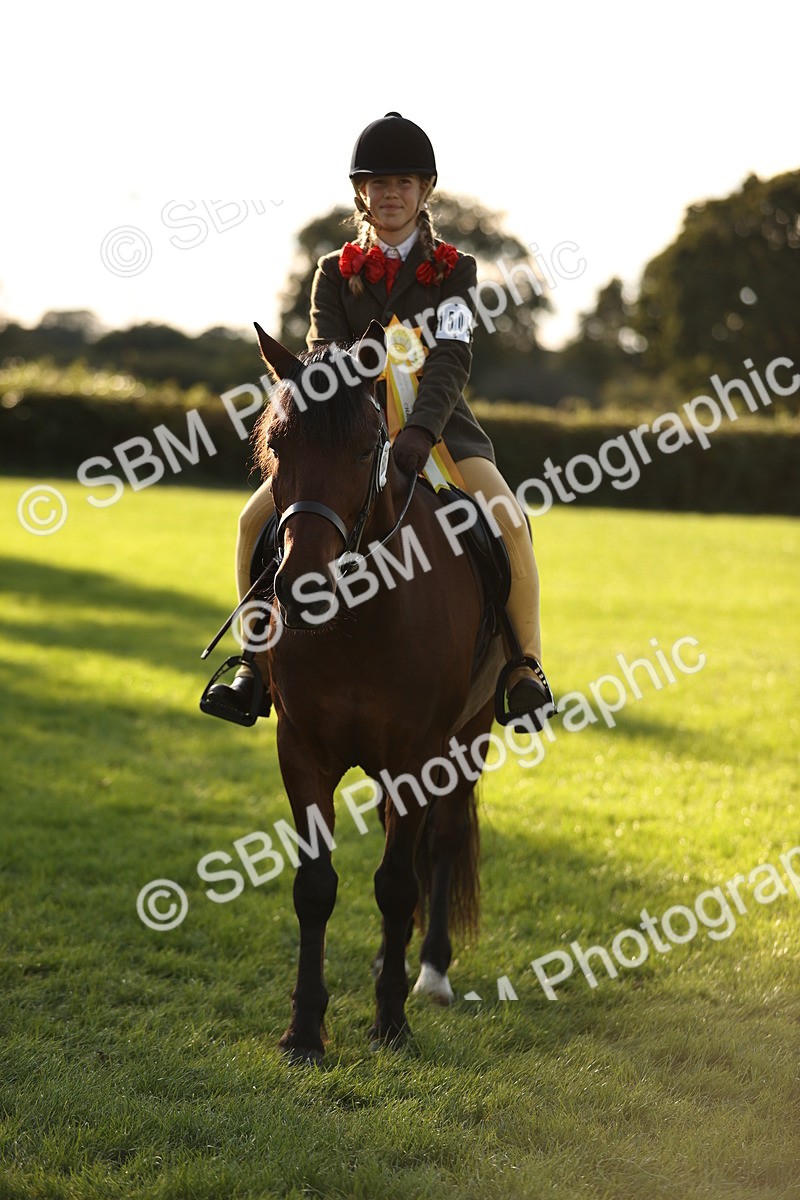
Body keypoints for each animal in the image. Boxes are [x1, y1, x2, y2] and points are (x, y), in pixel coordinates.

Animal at [251, 320, 502, 1062]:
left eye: (367, 448)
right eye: (278, 444)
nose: (302, 585)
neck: (363, 613)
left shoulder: (419, 758)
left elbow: (395, 884)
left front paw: (390, 1021)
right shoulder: (301, 750)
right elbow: (315, 886)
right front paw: (304, 1031)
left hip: (469, 737)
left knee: (441, 844)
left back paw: (432, 974)